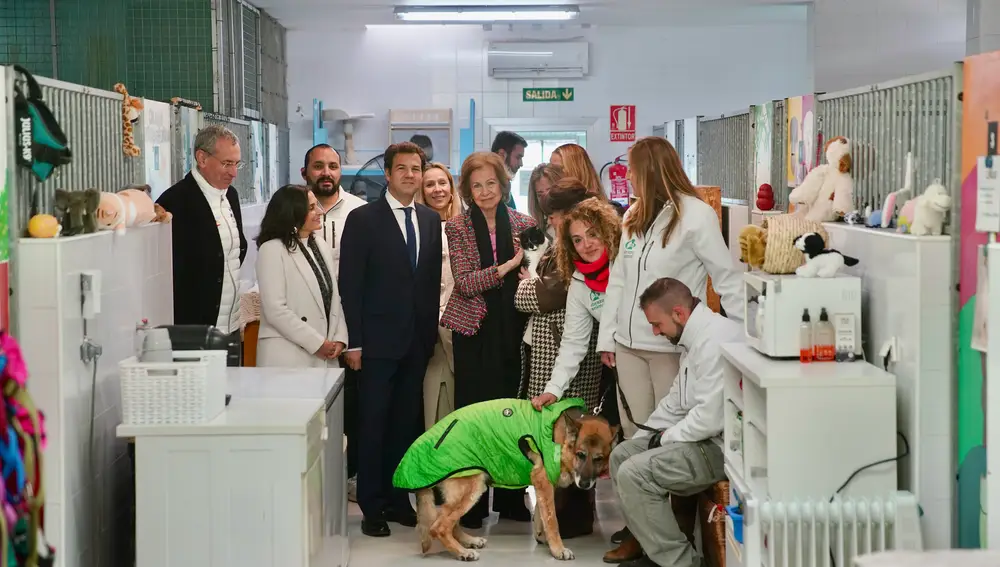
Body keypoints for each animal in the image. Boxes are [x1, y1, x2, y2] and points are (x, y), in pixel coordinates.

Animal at [412, 406, 616, 560]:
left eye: (599, 459)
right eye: (581, 454)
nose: (585, 484)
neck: (561, 441)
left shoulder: (542, 487)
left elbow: (541, 516)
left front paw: (543, 539)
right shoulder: (544, 482)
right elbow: (552, 521)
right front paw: (558, 549)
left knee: (449, 522)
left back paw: (469, 542)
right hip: (473, 488)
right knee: (439, 527)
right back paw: (462, 552)